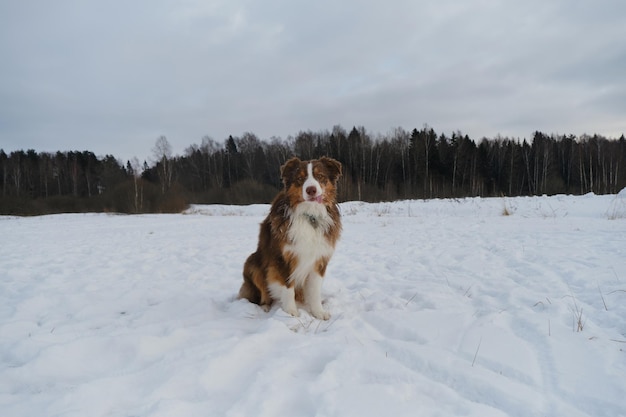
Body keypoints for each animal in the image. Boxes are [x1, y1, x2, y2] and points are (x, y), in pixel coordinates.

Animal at [236, 156, 342, 318]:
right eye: (300, 178)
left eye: (320, 176)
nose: (311, 190)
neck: (309, 215)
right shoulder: (282, 258)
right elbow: (287, 287)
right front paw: (291, 312)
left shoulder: (319, 259)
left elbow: (315, 289)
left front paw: (318, 312)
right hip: (252, 263)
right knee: (262, 293)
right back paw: (265, 307)